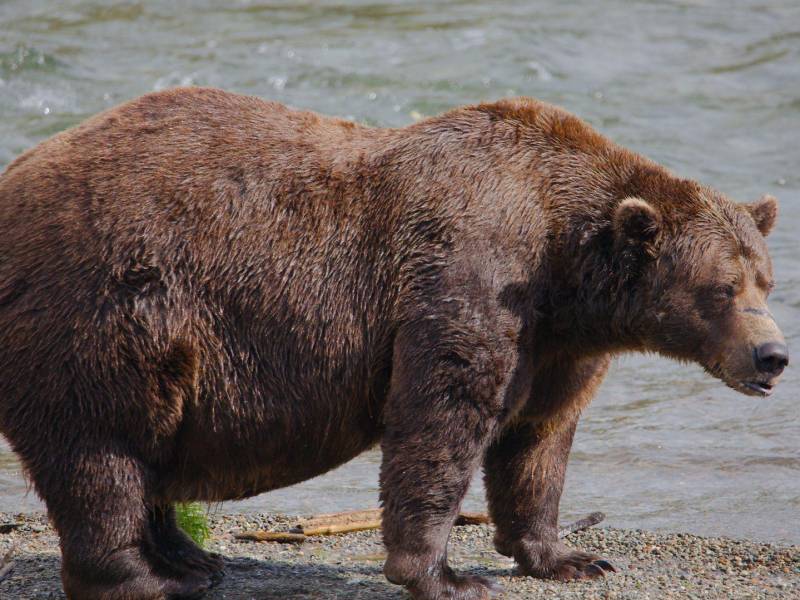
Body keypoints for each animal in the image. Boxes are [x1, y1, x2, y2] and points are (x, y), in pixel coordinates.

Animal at [0, 88, 788, 600]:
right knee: (101, 448)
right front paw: (448, 574)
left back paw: (192, 560)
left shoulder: (558, 343)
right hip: (108, 306)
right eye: (722, 288)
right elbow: (442, 418)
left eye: (766, 280)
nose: (773, 356)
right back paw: (146, 577)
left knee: (146, 451)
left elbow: (539, 439)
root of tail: (15, 176)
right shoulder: (469, 275)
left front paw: (568, 555)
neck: (566, 268)